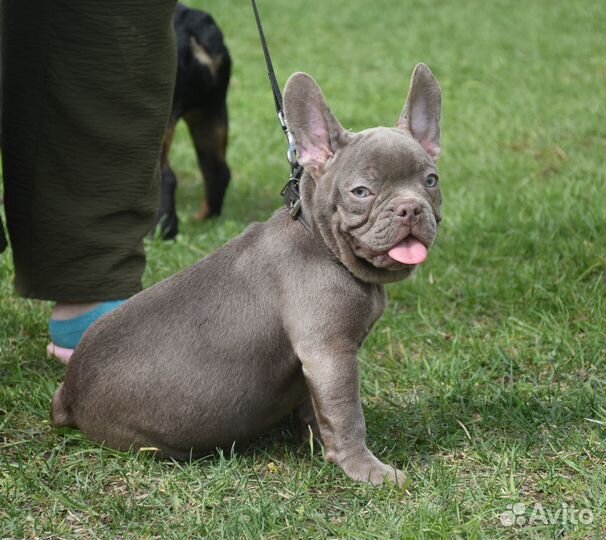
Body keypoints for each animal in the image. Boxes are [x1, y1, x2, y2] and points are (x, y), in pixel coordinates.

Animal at [53, 63, 442, 486]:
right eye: (361, 192)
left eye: (431, 181)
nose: (410, 208)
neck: (321, 241)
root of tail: (68, 394)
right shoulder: (330, 354)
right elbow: (347, 415)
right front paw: (365, 469)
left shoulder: (313, 365)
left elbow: (316, 408)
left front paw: (316, 442)